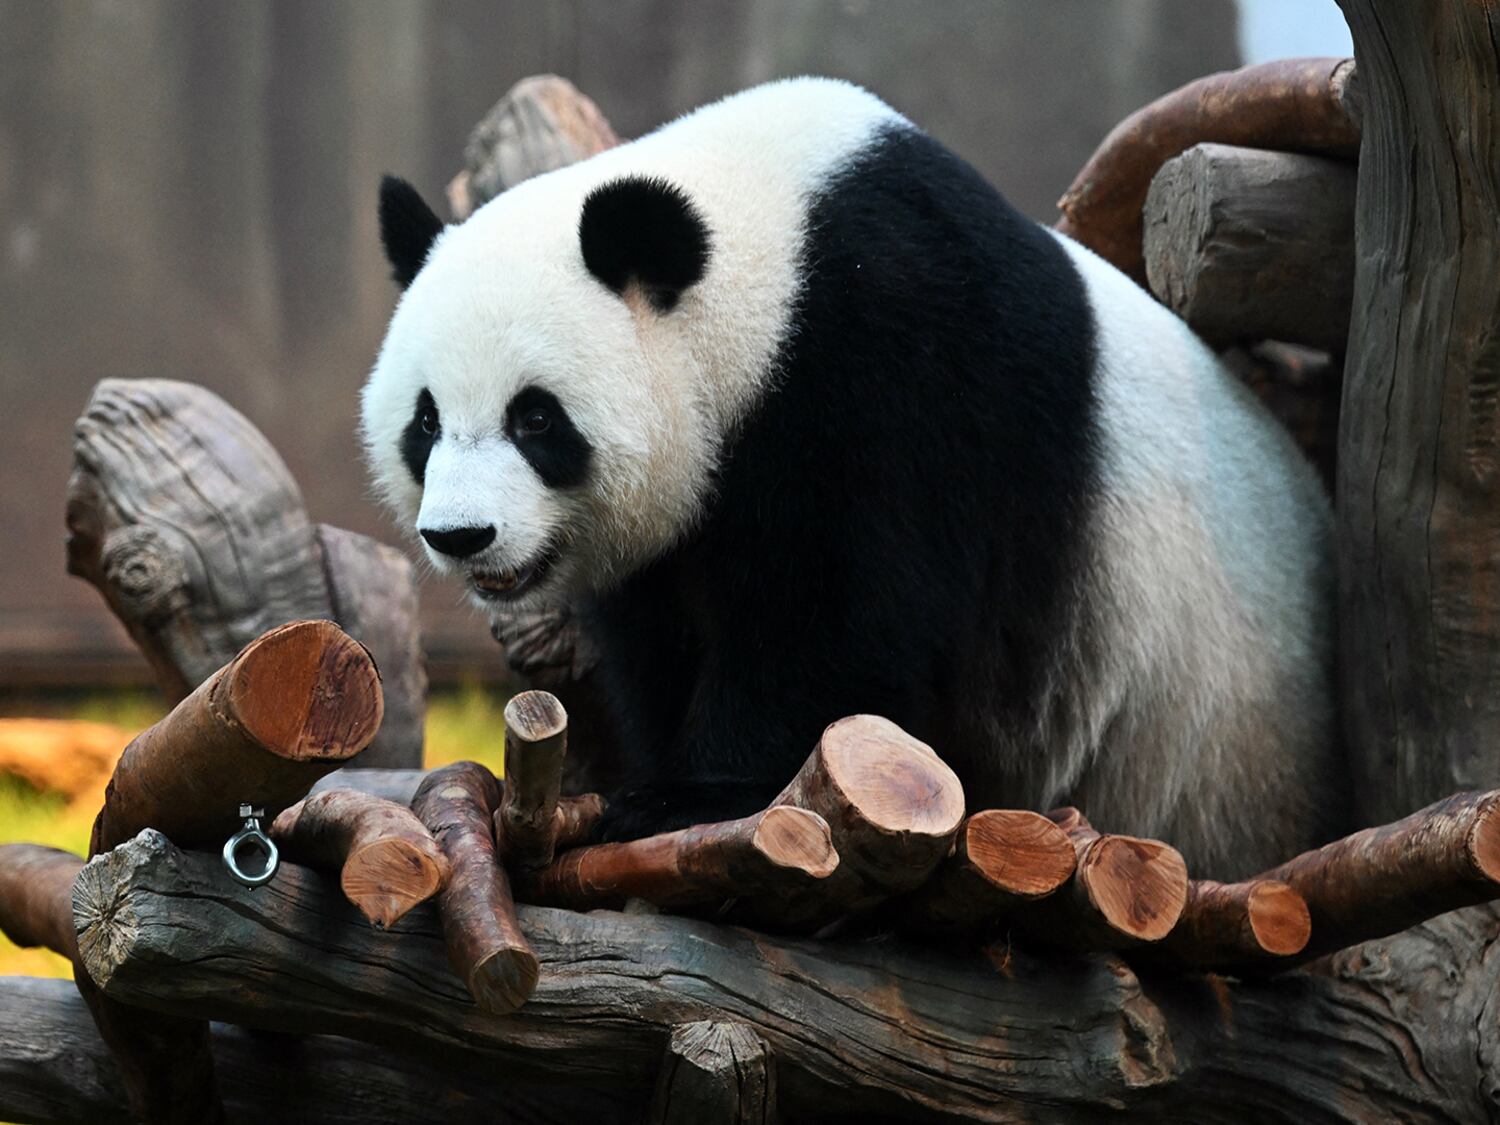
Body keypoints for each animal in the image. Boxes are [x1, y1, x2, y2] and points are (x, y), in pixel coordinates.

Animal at [360, 77, 1338, 882]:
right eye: (425, 421)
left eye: (536, 418)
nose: (461, 536)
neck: (767, 268)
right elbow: (663, 632)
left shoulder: (897, 371)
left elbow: (840, 623)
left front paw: (691, 794)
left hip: (1223, 751)